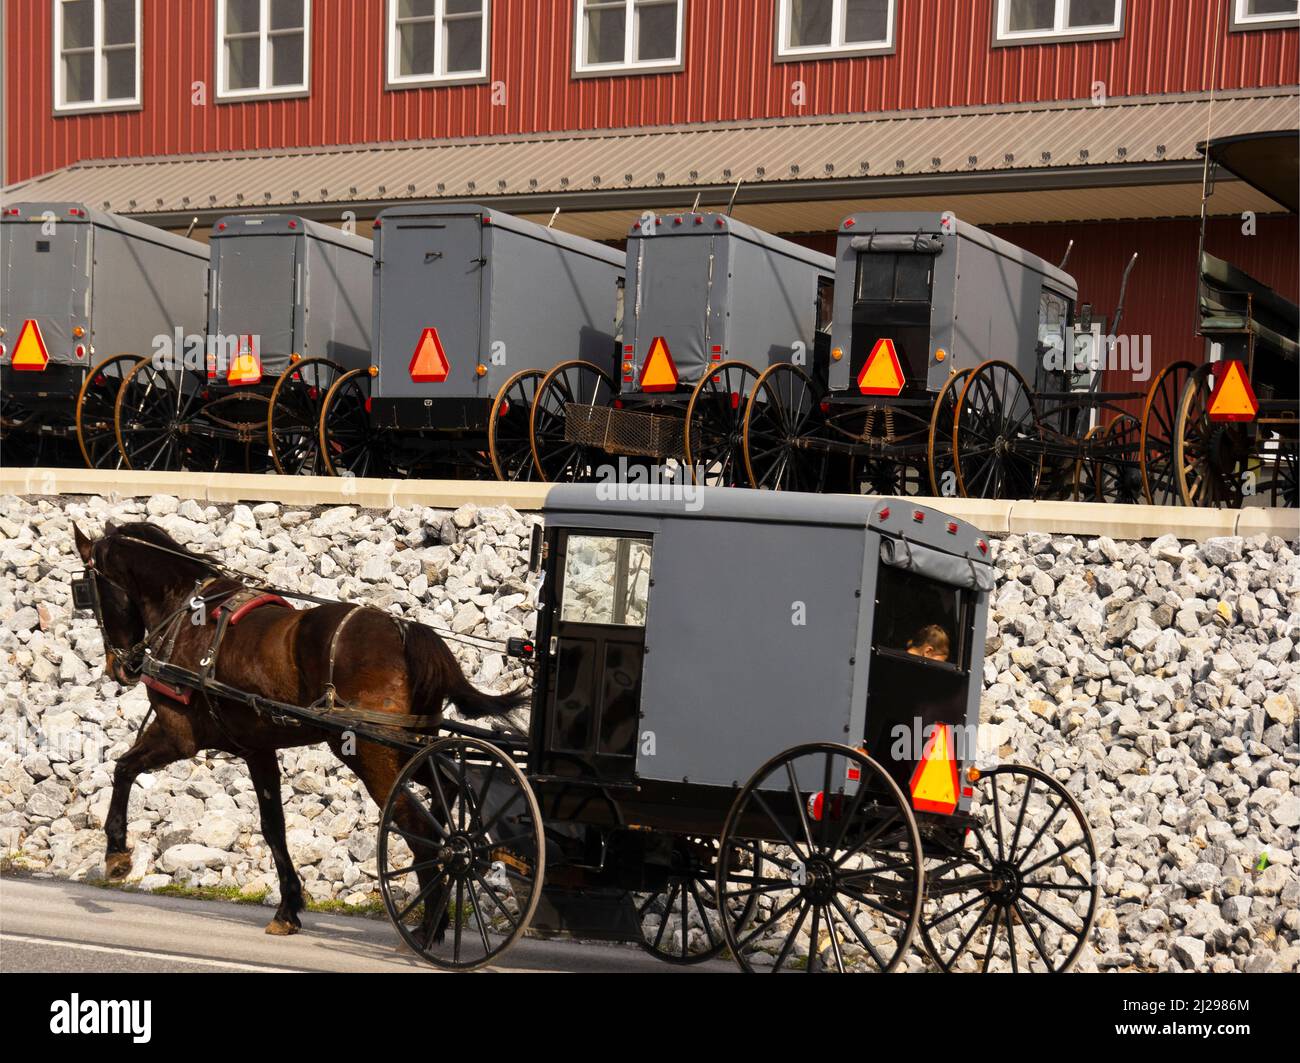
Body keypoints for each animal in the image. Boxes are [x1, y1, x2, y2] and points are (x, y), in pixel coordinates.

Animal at [73, 517, 520, 930]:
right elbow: (274, 827)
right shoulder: (257, 749)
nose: (119, 666)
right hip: (410, 745)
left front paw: (116, 854)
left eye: (87, 591)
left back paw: (430, 926)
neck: (185, 610)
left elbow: (123, 768)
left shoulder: (176, 734)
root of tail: (404, 630)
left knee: (420, 833)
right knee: (445, 792)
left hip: (370, 752)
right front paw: (288, 907)